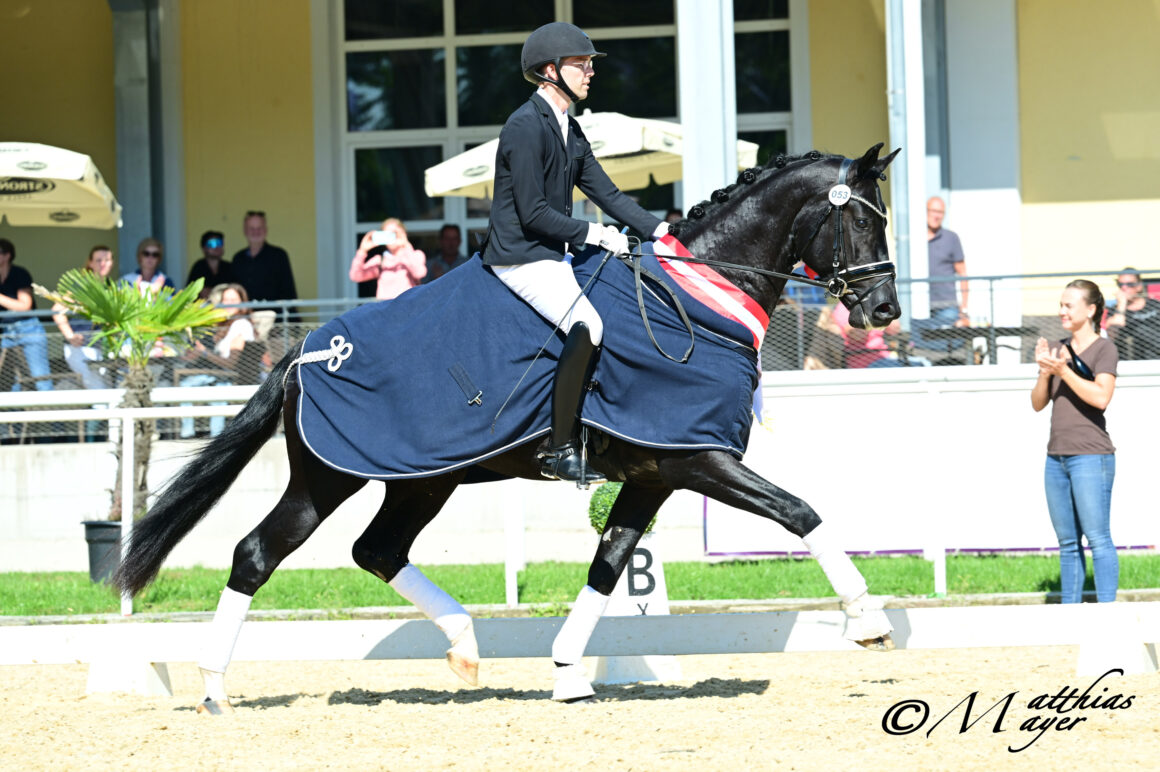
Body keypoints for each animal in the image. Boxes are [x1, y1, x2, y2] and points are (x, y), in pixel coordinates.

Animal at [113, 144, 900, 709]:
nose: (884, 311)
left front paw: (569, 673)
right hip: (331, 477)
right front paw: (869, 620)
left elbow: (610, 565)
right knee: (257, 553)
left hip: (421, 480)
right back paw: (214, 689)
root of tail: (306, 352)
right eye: (862, 220)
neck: (695, 300)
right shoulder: (697, 459)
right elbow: (800, 512)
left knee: (376, 549)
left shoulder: (656, 473)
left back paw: (464, 646)